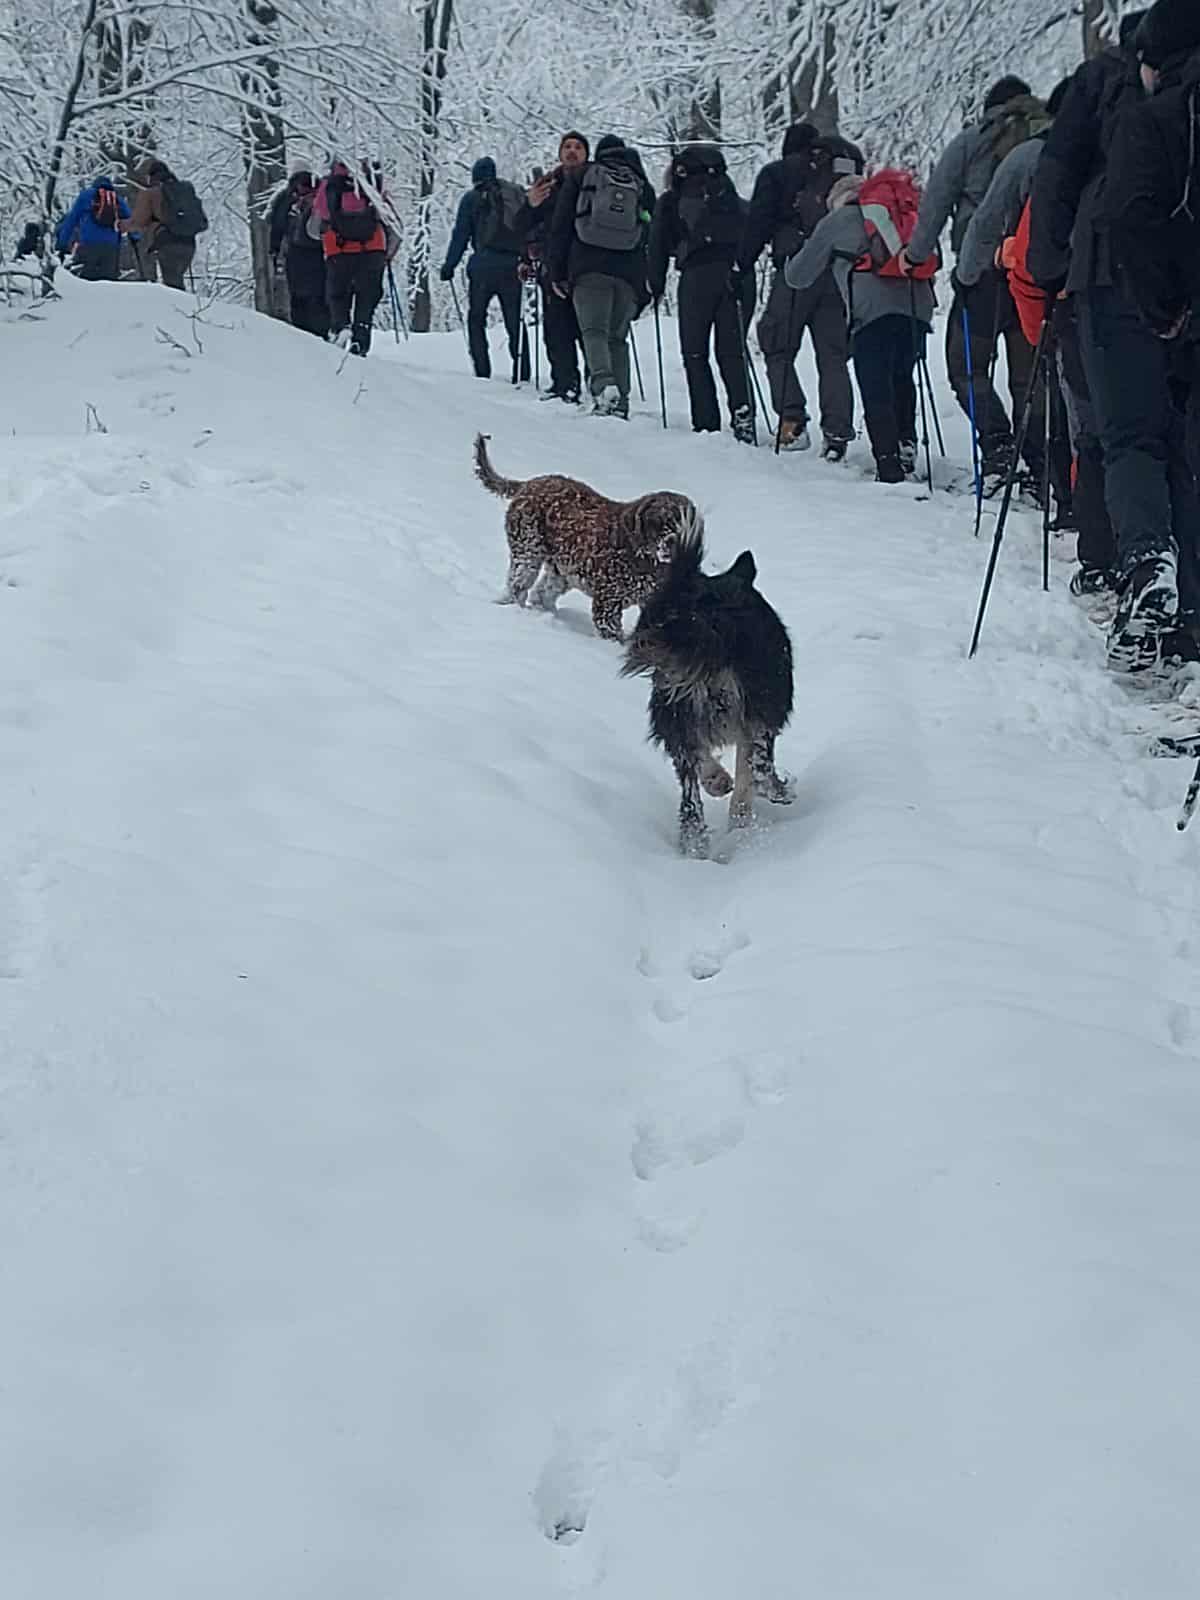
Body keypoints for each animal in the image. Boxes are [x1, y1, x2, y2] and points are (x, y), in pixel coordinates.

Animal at [473, 433, 697, 642]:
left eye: (682, 520)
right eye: (656, 521)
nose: (671, 542)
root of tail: (528, 484)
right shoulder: (607, 605)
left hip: (562, 572)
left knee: (541, 593)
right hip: (528, 556)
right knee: (517, 587)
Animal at [622, 514, 794, 857]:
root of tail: (710, 617)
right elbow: (747, 773)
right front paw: (743, 819)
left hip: (673, 705)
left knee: (691, 790)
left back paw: (697, 838)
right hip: (760, 702)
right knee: (758, 766)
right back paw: (774, 793)